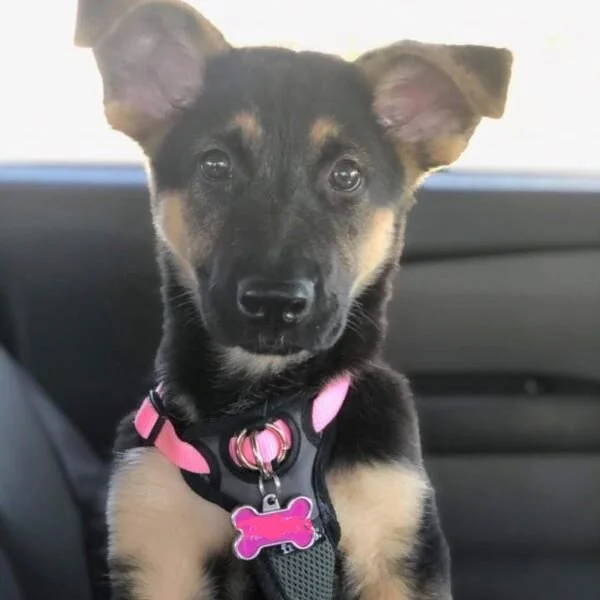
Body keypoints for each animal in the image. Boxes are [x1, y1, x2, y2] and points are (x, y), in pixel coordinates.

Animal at [77, 1, 512, 598]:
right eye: (215, 165)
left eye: (347, 175)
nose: (274, 303)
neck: (261, 419)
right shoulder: (156, 548)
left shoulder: (395, 550)